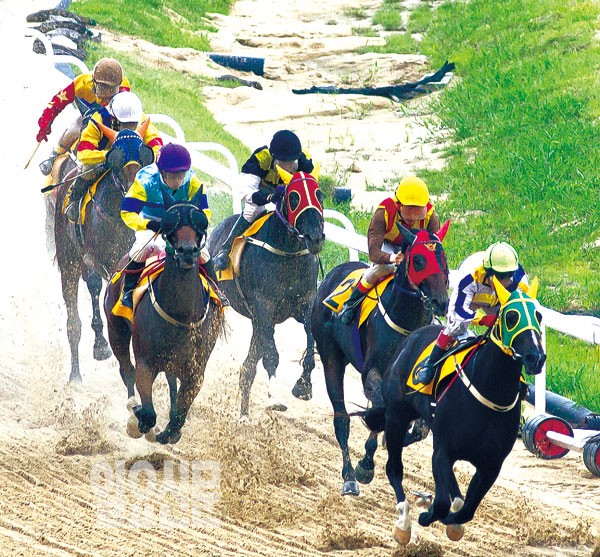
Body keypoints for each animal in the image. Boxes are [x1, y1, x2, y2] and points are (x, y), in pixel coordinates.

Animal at [53, 123, 155, 380]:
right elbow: (95, 286)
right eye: (117, 159)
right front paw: (101, 346)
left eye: (144, 156)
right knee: (74, 318)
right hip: (68, 256)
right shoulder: (94, 258)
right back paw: (76, 373)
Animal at [103, 191, 225, 444]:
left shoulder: (195, 371)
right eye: (171, 224)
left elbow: (179, 417)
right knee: (126, 369)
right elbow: (148, 412)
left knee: (169, 379)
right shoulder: (146, 362)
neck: (183, 315)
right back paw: (133, 408)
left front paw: (170, 431)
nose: (187, 251)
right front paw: (140, 419)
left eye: (198, 223)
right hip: (115, 329)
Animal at [209, 172, 326, 414]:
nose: (315, 238)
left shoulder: (304, 304)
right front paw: (275, 397)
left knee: (247, 369)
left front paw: (304, 385)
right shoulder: (264, 308)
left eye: (319, 194)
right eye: (293, 198)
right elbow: (271, 355)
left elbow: (311, 343)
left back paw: (244, 414)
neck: (288, 255)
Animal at [308, 224, 448, 494]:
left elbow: (419, 428)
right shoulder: (372, 372)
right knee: (341, 419)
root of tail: (332, 274)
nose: (441, 302)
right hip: (331, 357)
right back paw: (349, 476)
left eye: (443, 258)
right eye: (418, 260)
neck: (406, 322)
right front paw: (365, 465)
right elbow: (378, 412)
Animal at [364, 278, 548, 544]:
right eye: (511, 316)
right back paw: (403, 523)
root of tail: (415, 335)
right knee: (394, 469)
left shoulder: (491, 465)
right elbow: (442, 503)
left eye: (538, 315)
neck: (490, 390)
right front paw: (426, 515)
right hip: (397, 417)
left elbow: (466, 510)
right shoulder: (444, 450)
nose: (536, 357)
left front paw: (449, 519)